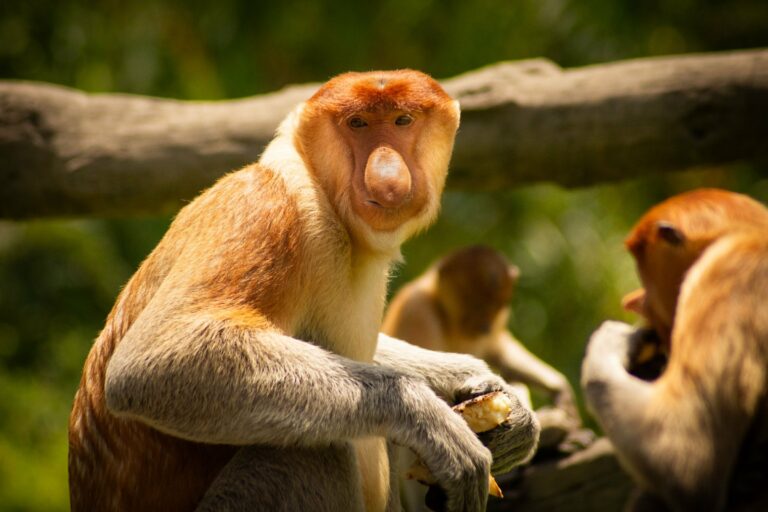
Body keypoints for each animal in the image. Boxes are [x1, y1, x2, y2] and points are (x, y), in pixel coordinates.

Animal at [68, 70, 539, 512]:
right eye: (358, 123)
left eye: (402, 120)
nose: (386, 174)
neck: (329, 201)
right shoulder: (269, 212)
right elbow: (153, 361)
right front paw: (427, 418)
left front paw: (492, 391)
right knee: (314, 447)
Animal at [581, 188, 768, 511]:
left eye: (643, 272)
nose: (639, 300)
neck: (750, 235)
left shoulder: (724, 274)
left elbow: (685, 464)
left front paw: (614, 339)